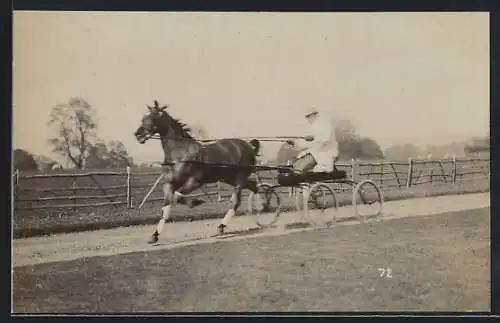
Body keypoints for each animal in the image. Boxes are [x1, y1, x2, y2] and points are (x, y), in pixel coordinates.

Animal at [135, 100, 264, 244]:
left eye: (155, 116)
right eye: (143, 118)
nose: (138, 135)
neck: (181, 154)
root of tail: (248, 145)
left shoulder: (195, 182)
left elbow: (177, 197)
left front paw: (196, 202)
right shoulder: (169, 183)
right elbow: (166, 206)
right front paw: (154, 235)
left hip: (240, 178)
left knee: (236, 201)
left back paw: (221, 226)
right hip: (229, 178)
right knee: (254, 186)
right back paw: (261, 209)